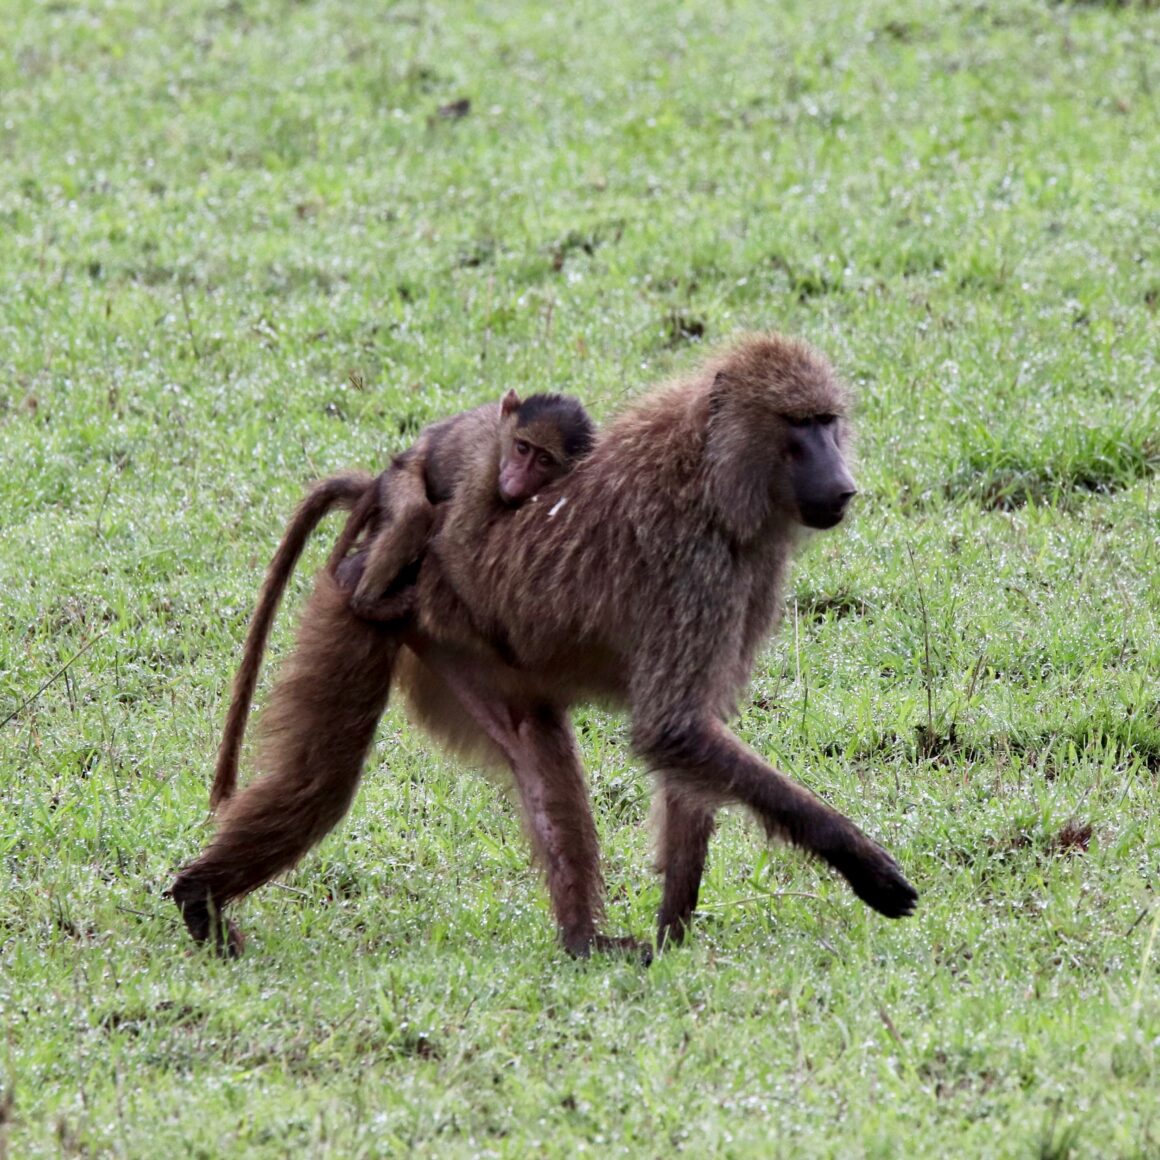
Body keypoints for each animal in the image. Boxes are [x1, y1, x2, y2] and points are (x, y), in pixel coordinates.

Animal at [207, 391, 596, 811]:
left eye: (544, 460)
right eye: (522, 448)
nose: (514, 479)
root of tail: (376, 485)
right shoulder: (483, 470)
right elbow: (456, 542)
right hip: (399, 479)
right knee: (414, 513)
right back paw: (369, 602)